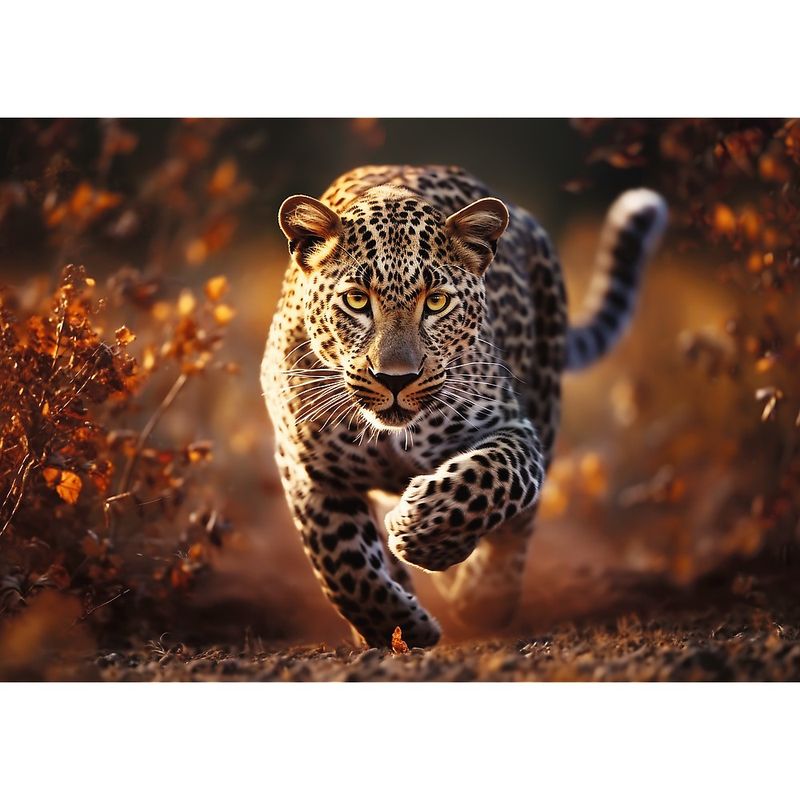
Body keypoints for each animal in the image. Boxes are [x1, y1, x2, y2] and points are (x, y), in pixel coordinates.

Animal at [261, 164, 667, 649]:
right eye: (357, 300)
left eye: (436, 302)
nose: (395, 378)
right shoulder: (307, 469)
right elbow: (342, 564)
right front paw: (398, 626)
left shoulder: (514, 428)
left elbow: (491, 478)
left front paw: (423, 532)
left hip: (546, 398)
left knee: (517, 528)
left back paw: (484, 596)